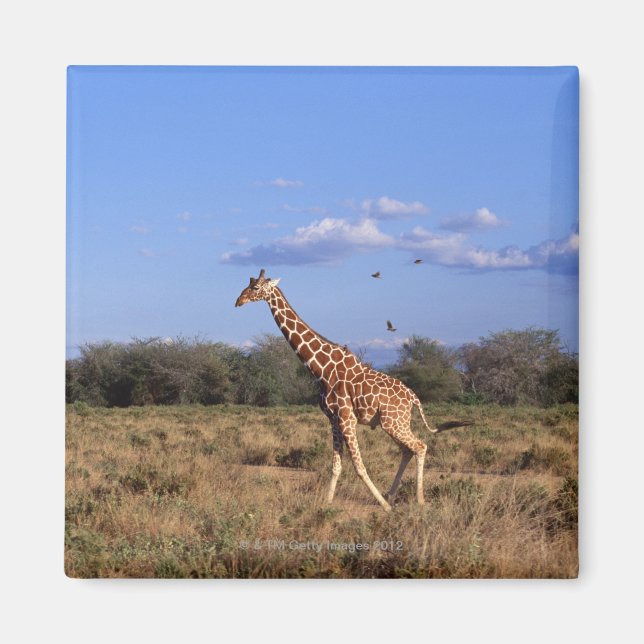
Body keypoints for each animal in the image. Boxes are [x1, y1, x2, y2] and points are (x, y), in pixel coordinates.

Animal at [235, 269, 441, 512]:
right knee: (408, 450)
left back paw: (418, 500)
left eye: (256, 287)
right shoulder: (333, 419)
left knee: (420, 446)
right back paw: (391, 495)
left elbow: (359, 466)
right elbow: (336, 465)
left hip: (393, 422)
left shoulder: (346, 417)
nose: (238, 301)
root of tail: (413, 397)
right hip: (392, 423)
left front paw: (382, 506)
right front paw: (327, 503)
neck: (321, 368)